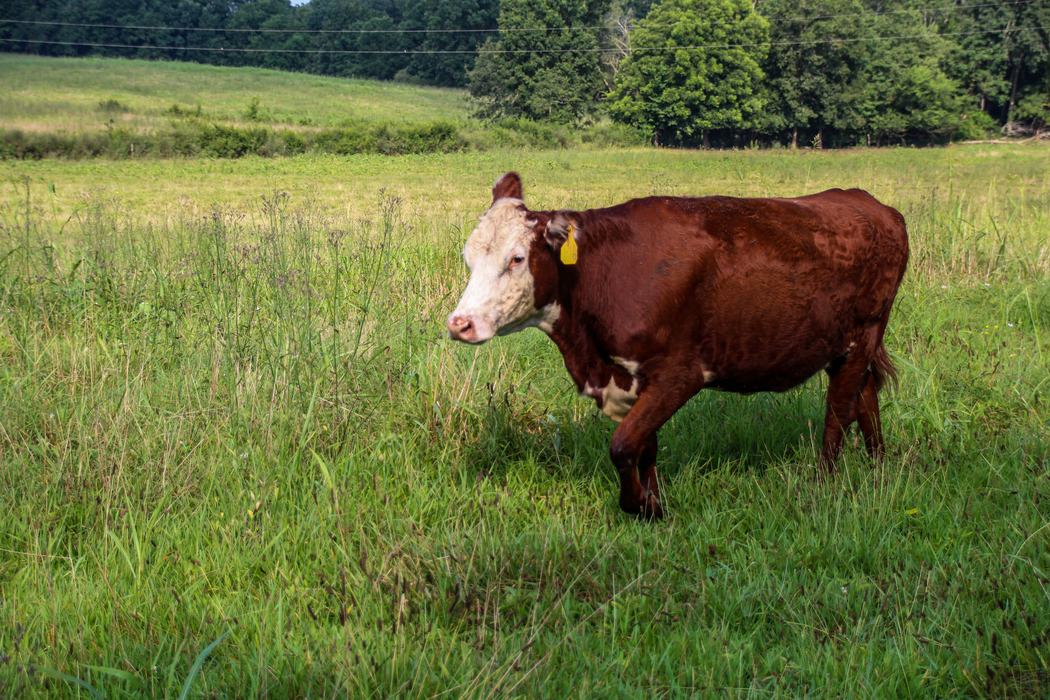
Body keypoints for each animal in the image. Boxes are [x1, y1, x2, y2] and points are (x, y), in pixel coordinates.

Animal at [448, 172, 909, 520]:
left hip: (863, 334)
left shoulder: (679, 374)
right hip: (841, 344)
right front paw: (653, 503)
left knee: (839, 411)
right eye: (468, 257)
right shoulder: (635, 380)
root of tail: (869, 203)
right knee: (866, 396)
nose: (460, 324)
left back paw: (825, 482)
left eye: (516, 258)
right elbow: (644, 445)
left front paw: (641, 506)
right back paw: (878, 467)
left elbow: (623, 445)